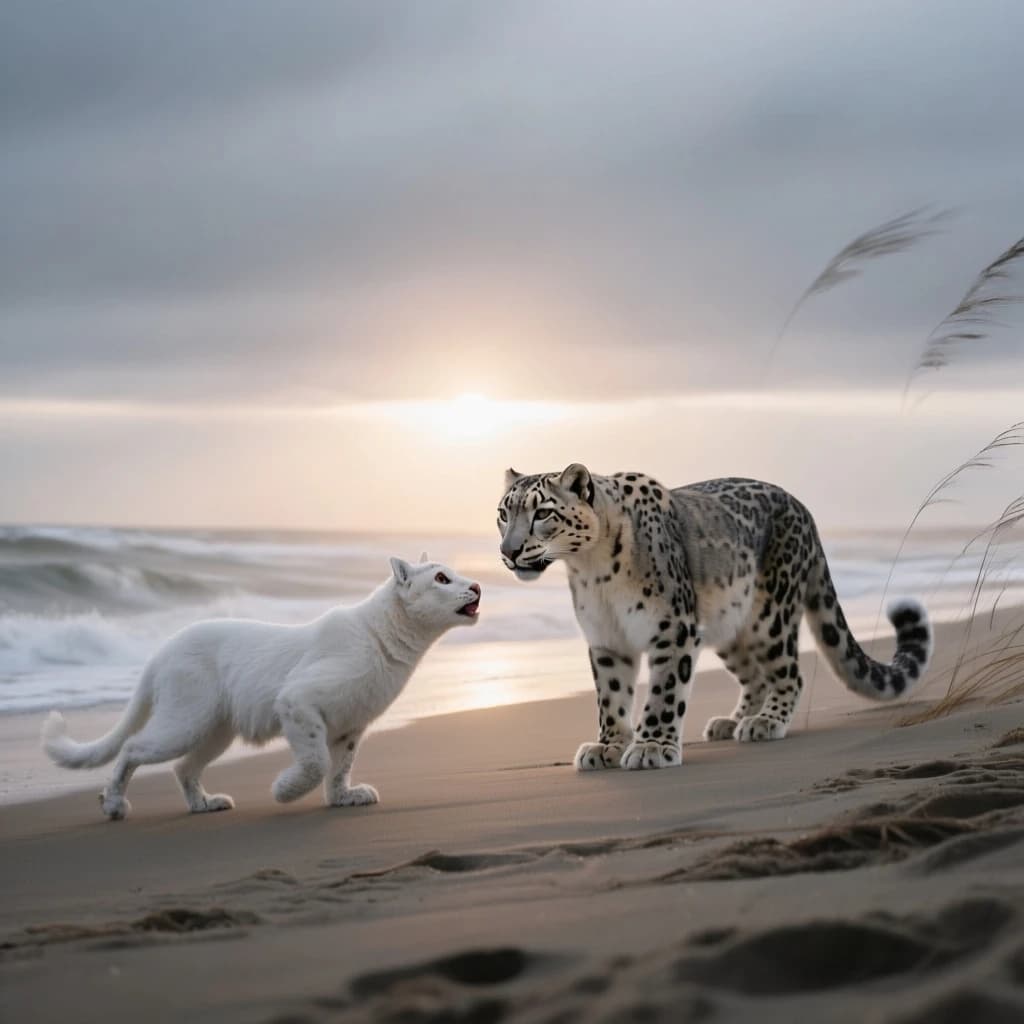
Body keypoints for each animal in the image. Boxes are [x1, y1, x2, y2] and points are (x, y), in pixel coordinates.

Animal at [497, 464, 932, 771]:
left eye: (543, 513)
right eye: (503, 513)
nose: (509, 551)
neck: (591, 569)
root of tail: (804, 510)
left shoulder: (672, 628)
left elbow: (664, 691)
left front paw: (651, 746)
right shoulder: (606, 638)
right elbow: (611, 696)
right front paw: (608, 746)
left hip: (770, 618)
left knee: (789, 674)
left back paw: (765, 723)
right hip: (729, 629)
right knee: (756, 677)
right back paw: (732, 721)